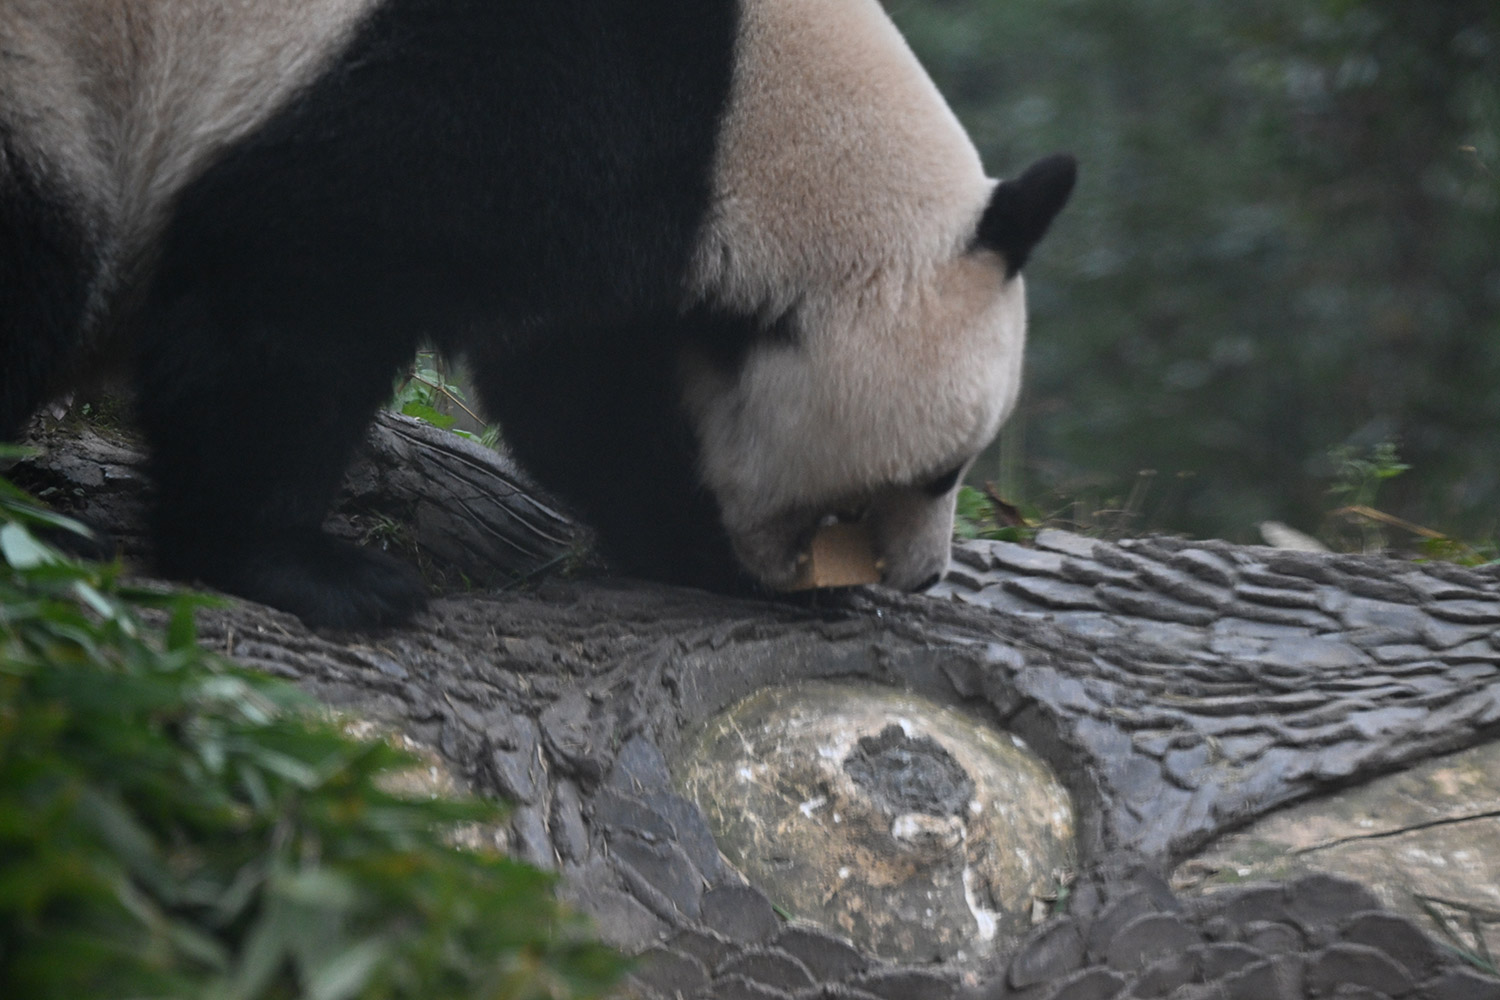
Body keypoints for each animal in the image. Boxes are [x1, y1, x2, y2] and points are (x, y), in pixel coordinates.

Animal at [2, 0, 1080, 626]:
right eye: (939, 470)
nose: (924, 577)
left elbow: (588, 399)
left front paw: (700, 550)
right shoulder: (499, 84)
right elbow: (287, 299)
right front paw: (313, 571)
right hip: (49, 80)